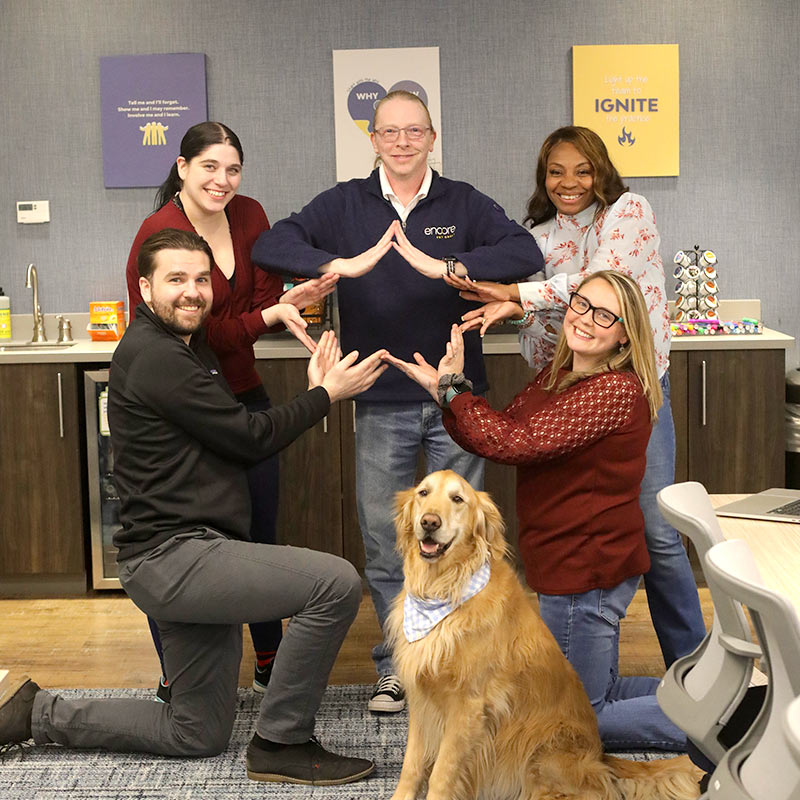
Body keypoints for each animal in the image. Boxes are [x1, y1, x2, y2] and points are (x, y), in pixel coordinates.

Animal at [384, 468, 696, 800]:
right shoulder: (422, 700)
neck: (442, 589)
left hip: (541, 757)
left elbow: (442, 775)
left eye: (457, 499)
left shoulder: (468, 706)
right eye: (423, 493)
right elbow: (411, 766)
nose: (429, 522)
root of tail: (599, 755)